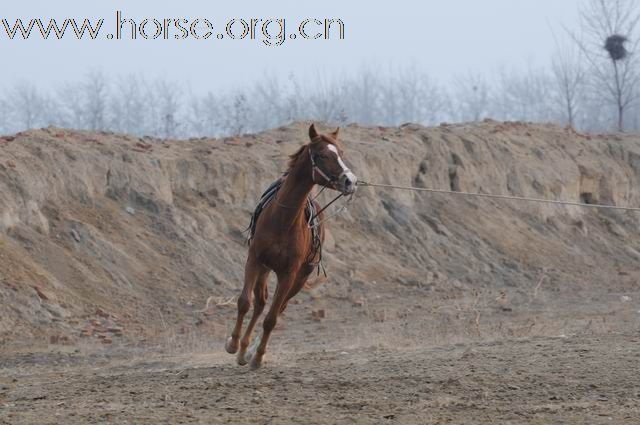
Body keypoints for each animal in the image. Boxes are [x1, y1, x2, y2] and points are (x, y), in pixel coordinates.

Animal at [225, 122, 358, 368]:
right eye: (323, 155)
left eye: (341, 153)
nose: (350, 181)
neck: (283, 220)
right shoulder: (254, 259)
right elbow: (244, 302)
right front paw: (233, 344)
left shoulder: (289, 273)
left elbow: (272, 318)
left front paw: (258, 356)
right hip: (266, 269)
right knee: (260, 302)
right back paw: (243, 349)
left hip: (300, 278)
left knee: (278, 307)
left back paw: (252, 351)